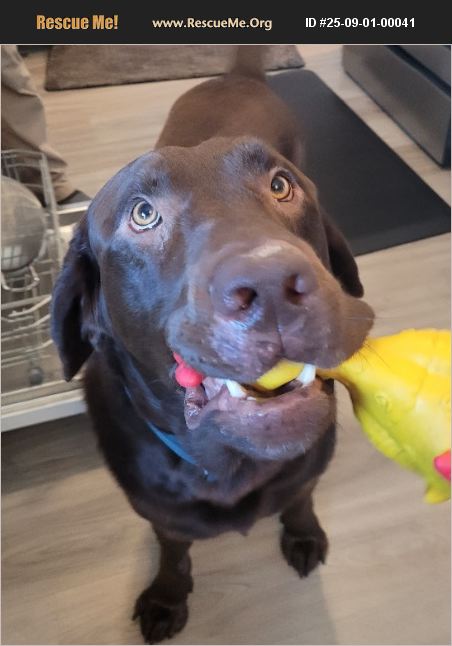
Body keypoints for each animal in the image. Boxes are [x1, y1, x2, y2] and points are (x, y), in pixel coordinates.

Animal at [51, 46, 374, 643]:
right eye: (143, 213)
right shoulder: (160, 513)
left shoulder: (306, 470)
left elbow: (299, 499)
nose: (272, 285)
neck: (228, 463)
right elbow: (174, 551)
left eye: (281, 185)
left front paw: (302, 534)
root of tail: (236, 75)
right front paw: (167, 596)